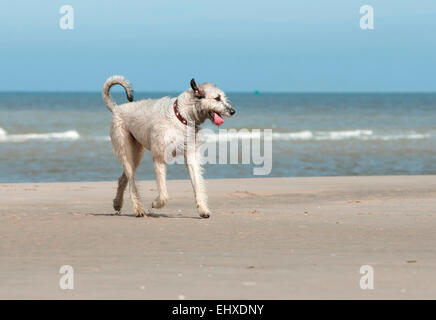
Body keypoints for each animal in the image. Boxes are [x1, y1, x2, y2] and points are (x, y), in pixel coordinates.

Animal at [102, 76, 235, 219]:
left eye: (223, 97)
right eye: (217, 98)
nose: (233, 111)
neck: (181, 116)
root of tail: (117, 108)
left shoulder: (191, 156)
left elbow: (197, 184)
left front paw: (203, 209)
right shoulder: (159, 157)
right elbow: (164, 194)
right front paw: (155, 203)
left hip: (136, 153)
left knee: (123, 178)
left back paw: (117, 203)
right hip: (124, 148)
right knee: (131, 179)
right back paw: (138, 209)